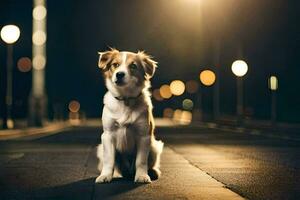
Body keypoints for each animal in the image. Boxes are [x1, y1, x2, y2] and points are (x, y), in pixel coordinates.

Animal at [95, 48, 164, 183]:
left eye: (133, 66)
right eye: (115, 65)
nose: (119, 74)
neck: (125, 99)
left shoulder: (144, 136)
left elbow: (141, 161)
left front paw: (142, 176)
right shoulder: (107, 135)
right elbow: (109, 160)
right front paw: (105, 175)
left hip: (154, 146)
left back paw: (153, 172)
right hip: (101, 148)